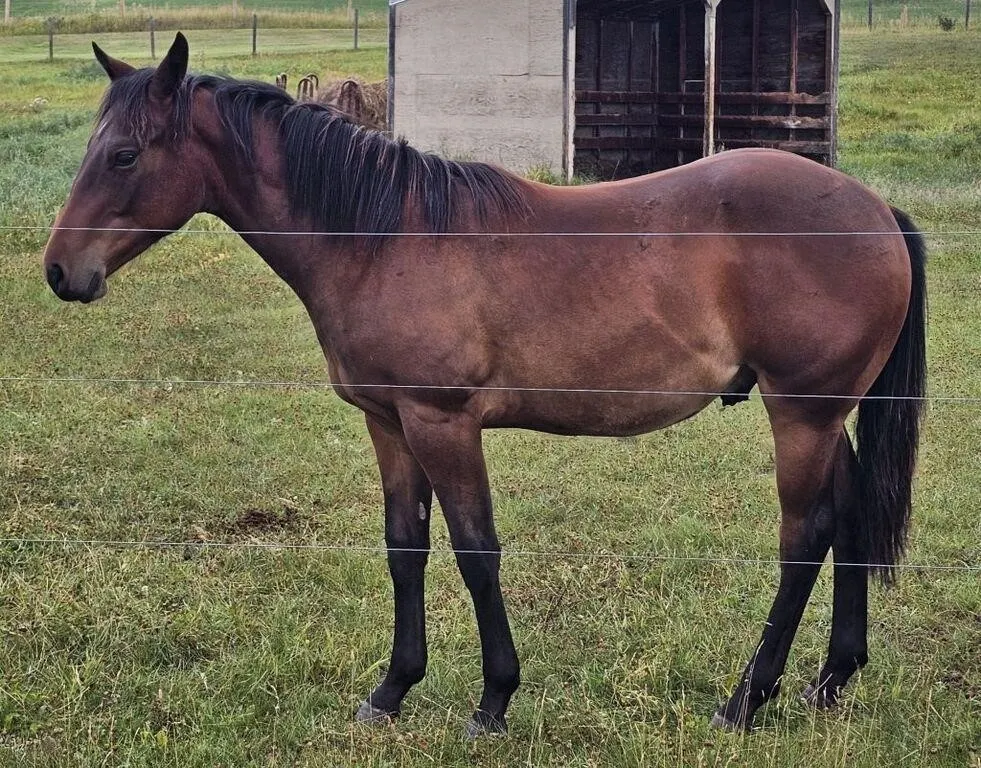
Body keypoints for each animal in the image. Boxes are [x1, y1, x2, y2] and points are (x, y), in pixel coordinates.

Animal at [43, 34, 927, 736]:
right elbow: (404, 549)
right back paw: (828, 682)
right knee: (848, 517)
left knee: (804, 538)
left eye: (125, 155)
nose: (59, 272)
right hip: (823, 418)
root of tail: (874, 208)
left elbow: (475, 551)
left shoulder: (443, 423)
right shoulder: (389, 422)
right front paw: (390, 691)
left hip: (800, 416)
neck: (383, 238)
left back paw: (745, 701)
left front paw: (493, 701)